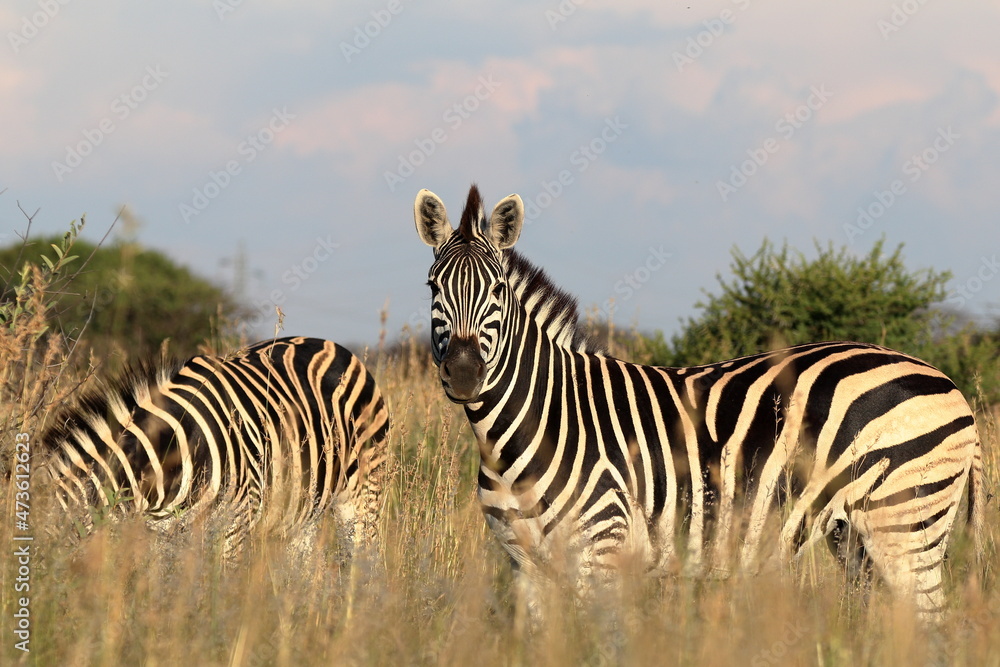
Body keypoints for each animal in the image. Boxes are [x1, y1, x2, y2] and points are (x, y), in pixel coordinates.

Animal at [40, 336, 389, 560]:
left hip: (364, 495)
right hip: (303, 508)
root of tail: (335, 345)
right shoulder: (161, 535)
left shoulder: (235, 527)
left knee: (364, 559)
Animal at [413, 184, 984, 623]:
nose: (463, 374)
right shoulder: (524, 564)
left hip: (906, 525)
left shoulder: (602, 550)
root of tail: (947, 381)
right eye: (432, 287)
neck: (522, 434)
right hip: (856, 537)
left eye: (496, 291)